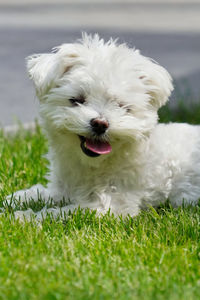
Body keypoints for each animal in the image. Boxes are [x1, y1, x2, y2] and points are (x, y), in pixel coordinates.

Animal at [6, 34, 200, 219]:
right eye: (76, 100)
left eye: (121, 106)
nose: (100, 124)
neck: (93, 165)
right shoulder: (63, 189)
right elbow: (46, 193)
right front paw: (19, 199)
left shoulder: (109, 206)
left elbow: (58, 213)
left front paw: (23, 218)